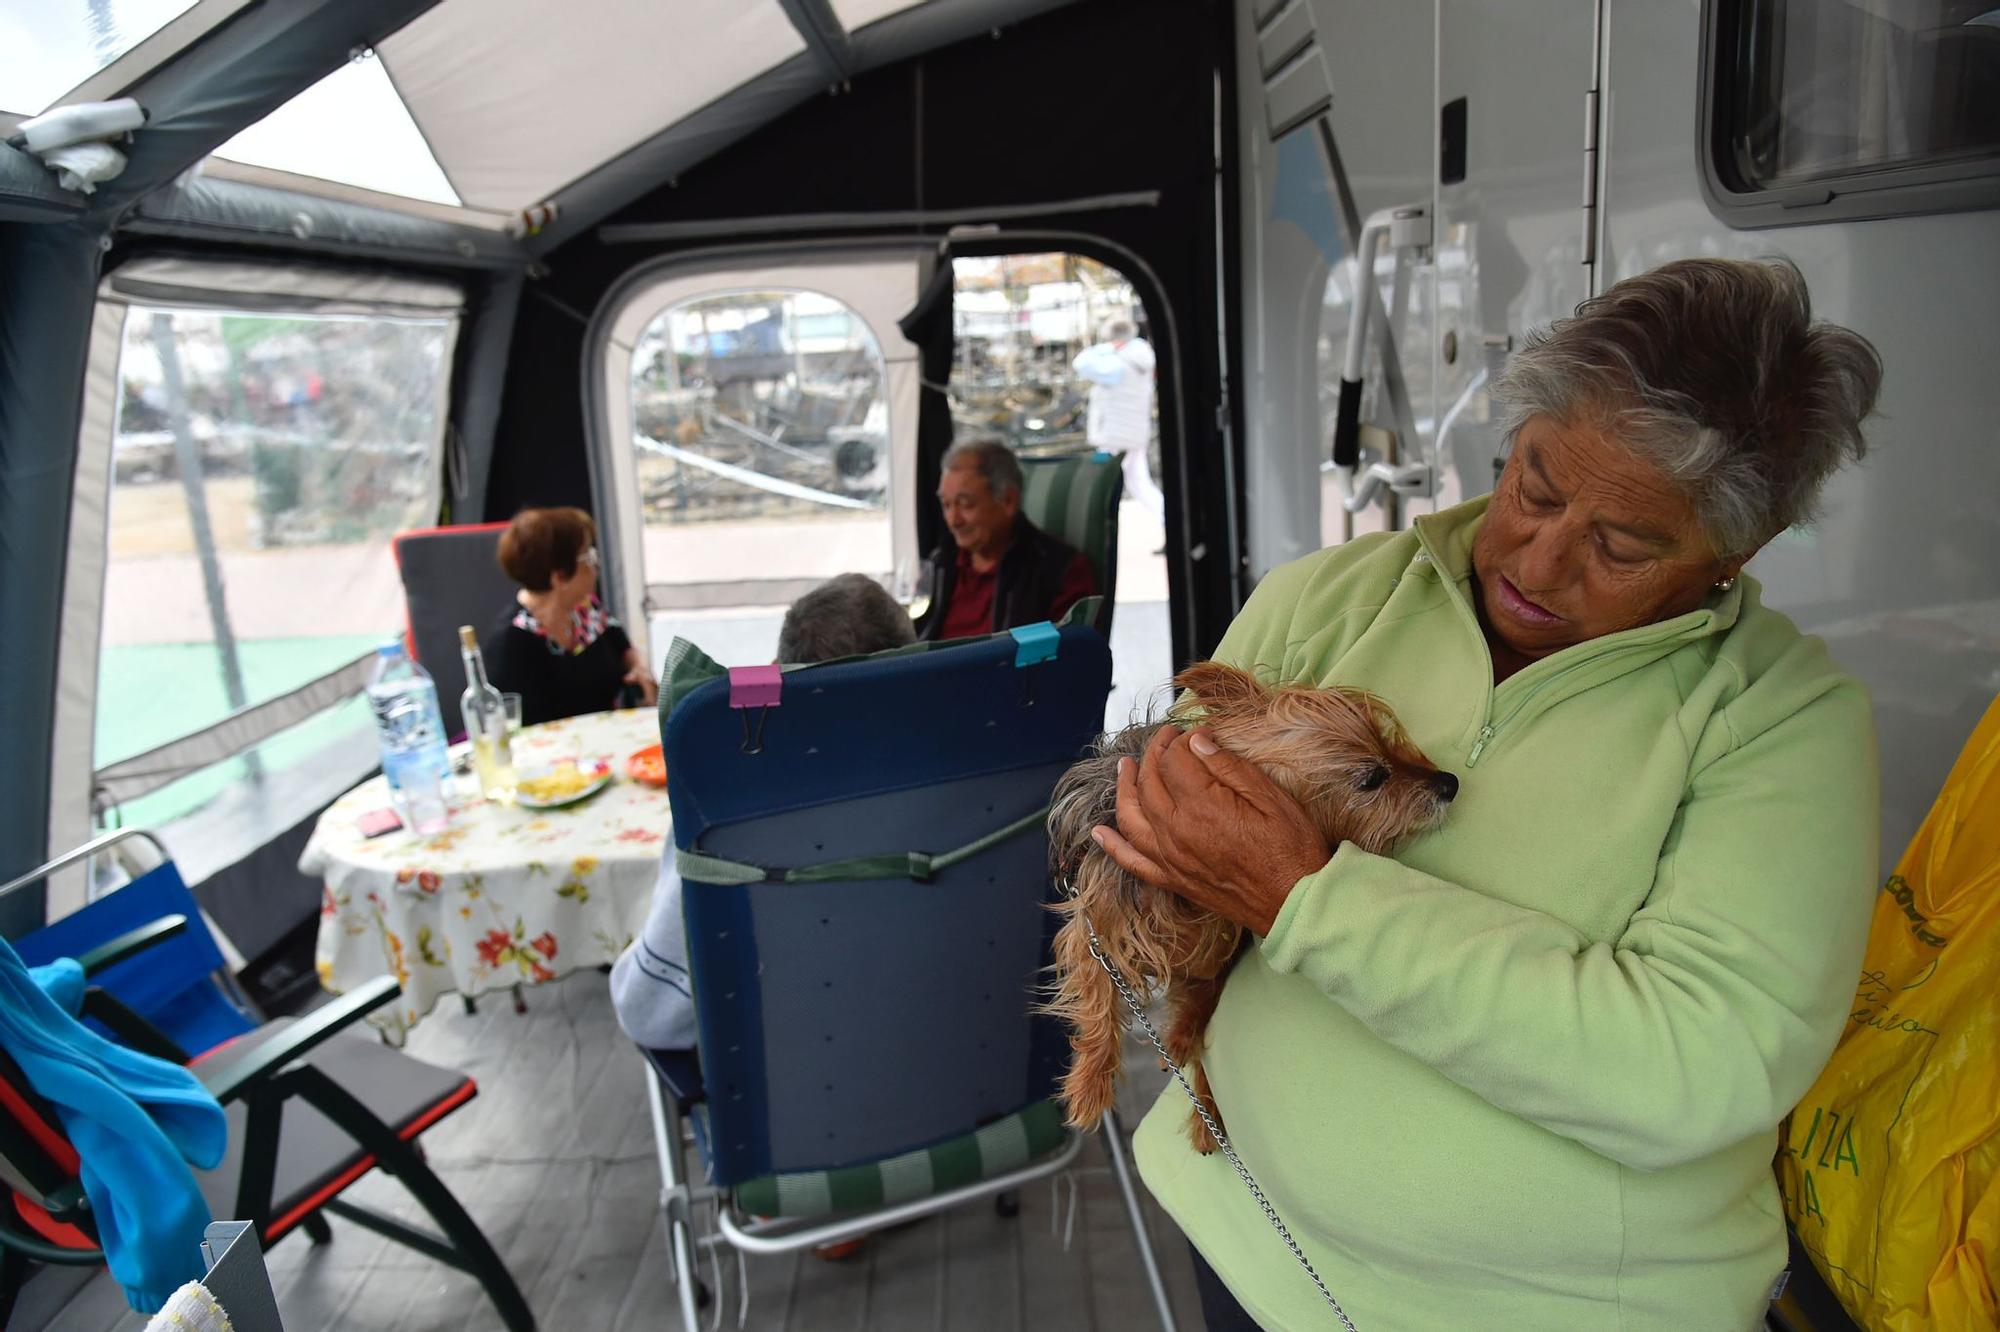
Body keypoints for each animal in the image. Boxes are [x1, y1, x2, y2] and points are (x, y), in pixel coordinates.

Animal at [1048, 660, 1456, 1144]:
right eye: (1374, 777)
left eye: (1388, 742)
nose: (1450, 782)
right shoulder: (1096, 919)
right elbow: (1096, 999)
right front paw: (1089, 1086)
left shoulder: (1215, 944)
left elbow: (1200, 995)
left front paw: (1182, 1042)